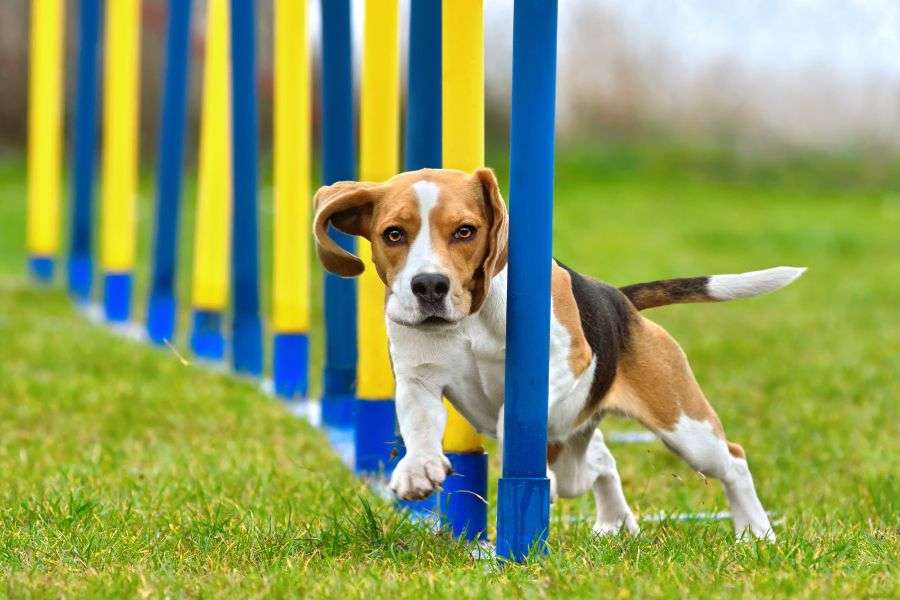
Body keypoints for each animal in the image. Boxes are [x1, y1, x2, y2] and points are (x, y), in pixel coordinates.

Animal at [312, 168, 804, 540]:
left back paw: (756, 533)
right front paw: (418, 469)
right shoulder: (419, 380)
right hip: (582, 452)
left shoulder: (564, 363)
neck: (469, 319)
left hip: (686, 427)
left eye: (465, 231)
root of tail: (620, 300)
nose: (429, 285)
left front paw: (524, 473)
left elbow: (511, 418)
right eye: (393, 234)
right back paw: (614, 524)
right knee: (602, 461)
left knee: (733, 461)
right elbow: (418, 425)